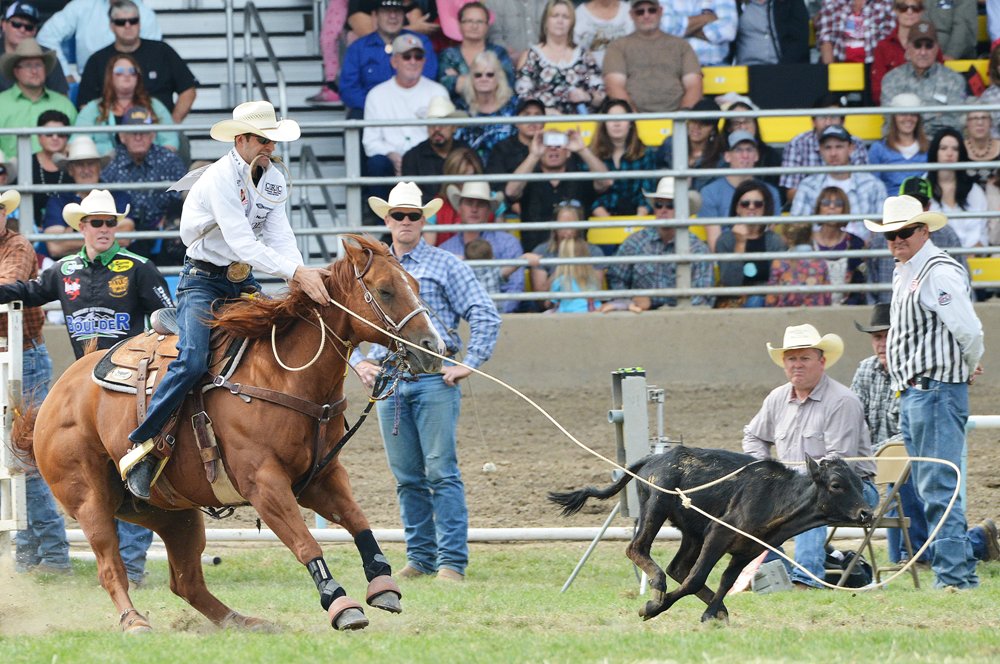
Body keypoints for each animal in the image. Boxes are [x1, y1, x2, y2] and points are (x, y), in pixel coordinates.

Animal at [19, 235, 442, 632]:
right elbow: (304, 542)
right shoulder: (264, 484)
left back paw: (246, 622)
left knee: (187, 582)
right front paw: (341, 605)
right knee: (110, 567)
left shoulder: (320, 478)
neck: (282, 375)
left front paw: (383, 585)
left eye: (415, 285)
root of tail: (57, 393)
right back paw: (135, 622)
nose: (433, 347)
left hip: (174, 515)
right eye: (385, 290)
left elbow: (357, 520)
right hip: (89, 501)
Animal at [552, 446, 872, 624]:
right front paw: (654, 607)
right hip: (657, 505)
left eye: (859, 483)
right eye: (836, 485)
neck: (774, 498)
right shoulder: (718, 533)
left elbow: (725, 580)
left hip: (691, 533)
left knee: (677, 567)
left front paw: (714, 612)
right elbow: (696, 578)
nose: (867, 514)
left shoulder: (746, 550)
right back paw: (657, 587)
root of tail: (657, 457)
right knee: (639, 549)